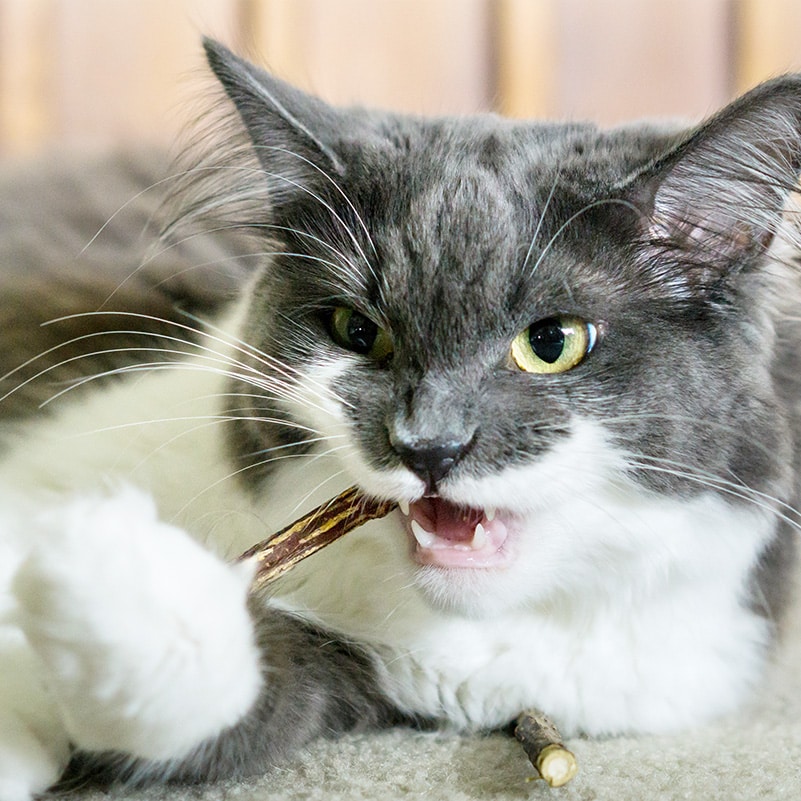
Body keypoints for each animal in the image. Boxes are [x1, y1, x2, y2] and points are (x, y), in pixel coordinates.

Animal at [1, 39, 800, 800]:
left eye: (553, 343)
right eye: (356, 330)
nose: (428, 446)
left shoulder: (378, 674)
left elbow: (223, 700)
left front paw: (110, 573)